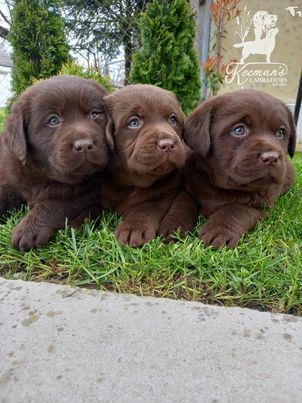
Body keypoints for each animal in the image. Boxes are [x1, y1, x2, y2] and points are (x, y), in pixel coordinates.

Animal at [0, 75, 109, 249]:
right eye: (53, 120)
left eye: (94, 114)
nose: (85, 145)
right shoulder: (10, 179)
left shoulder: (91, 187)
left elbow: (56, 202)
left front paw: (30, 228)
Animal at [102, 84, 189, 246]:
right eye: (134, 122)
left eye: (173, 119)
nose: (168, 144)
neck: (134, 181)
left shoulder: (164, 194)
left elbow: (145, 208)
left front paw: (133, 229)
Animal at [159, 90, 296, 249]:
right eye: (239, 130)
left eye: (280, 133)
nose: (272, 157)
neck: (222, 186)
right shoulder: (188, 188)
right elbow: (182, 204)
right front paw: (173, 227)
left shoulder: (261, 206)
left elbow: (235, 209)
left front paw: (219, 231)